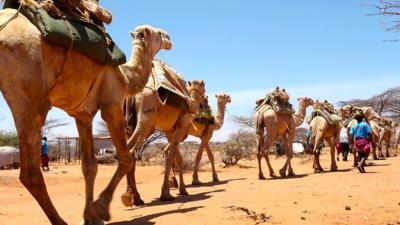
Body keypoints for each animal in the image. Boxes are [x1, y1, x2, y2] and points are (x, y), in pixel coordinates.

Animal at [0, 4, 170, 224]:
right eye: (158, 33)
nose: (169, 38)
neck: (125, 77)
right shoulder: (111, 105)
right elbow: (125, 158)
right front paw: (102, 208)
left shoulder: (83, 115)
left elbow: (89, 167)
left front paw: (89, 216)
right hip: (28, 95)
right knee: (30, 173)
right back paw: (60, 221)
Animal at [121, 62, 206, 206]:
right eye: (203, 86)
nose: (206, 99)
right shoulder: (181, 125)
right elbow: (171, 157)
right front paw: (166, 193)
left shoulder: (169, 130)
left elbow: (177, 158)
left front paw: (181, 189)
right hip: (146, 119)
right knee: (131, 151)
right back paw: (129, 197)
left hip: (129, 123)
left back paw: (135, 197)